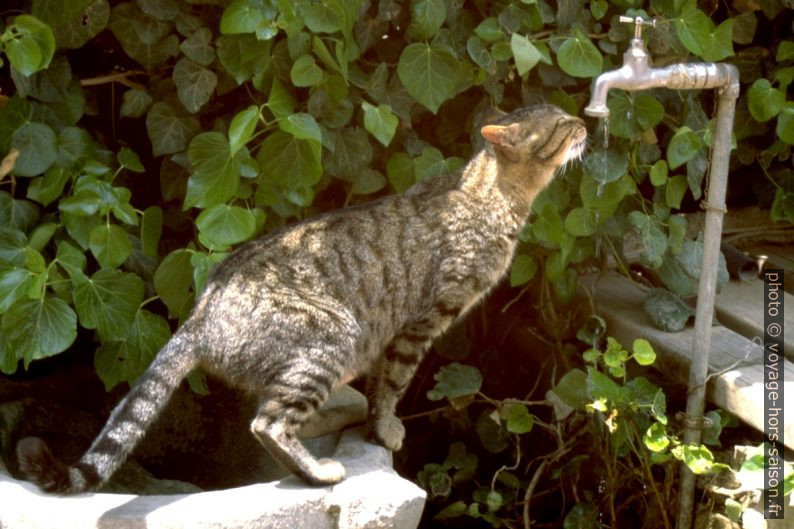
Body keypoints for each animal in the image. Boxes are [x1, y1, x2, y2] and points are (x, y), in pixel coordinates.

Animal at [17, 103, 588, 490]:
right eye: (561, 125)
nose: (584, 121)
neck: (492, 194)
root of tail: (200, 314)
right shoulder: (420, 324)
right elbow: (392, 385)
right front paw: (384, 429)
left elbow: (382, 384)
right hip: (332, 337)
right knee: (268, 421)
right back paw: (319, 471)